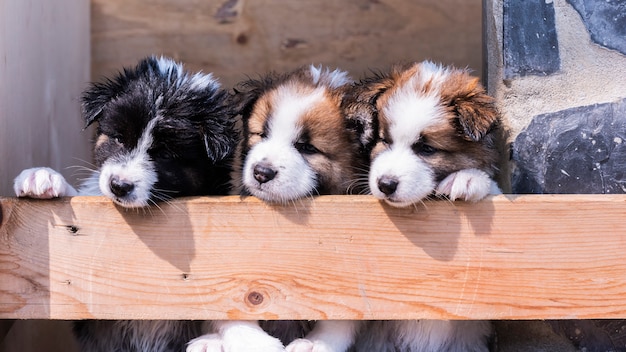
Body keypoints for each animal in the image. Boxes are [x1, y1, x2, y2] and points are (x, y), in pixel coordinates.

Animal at [186, 64, 376, 352]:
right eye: (262, 134)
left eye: (307, 147)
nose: (261, 173)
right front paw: (254, 342)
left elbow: (345, 310)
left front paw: (317, 343)